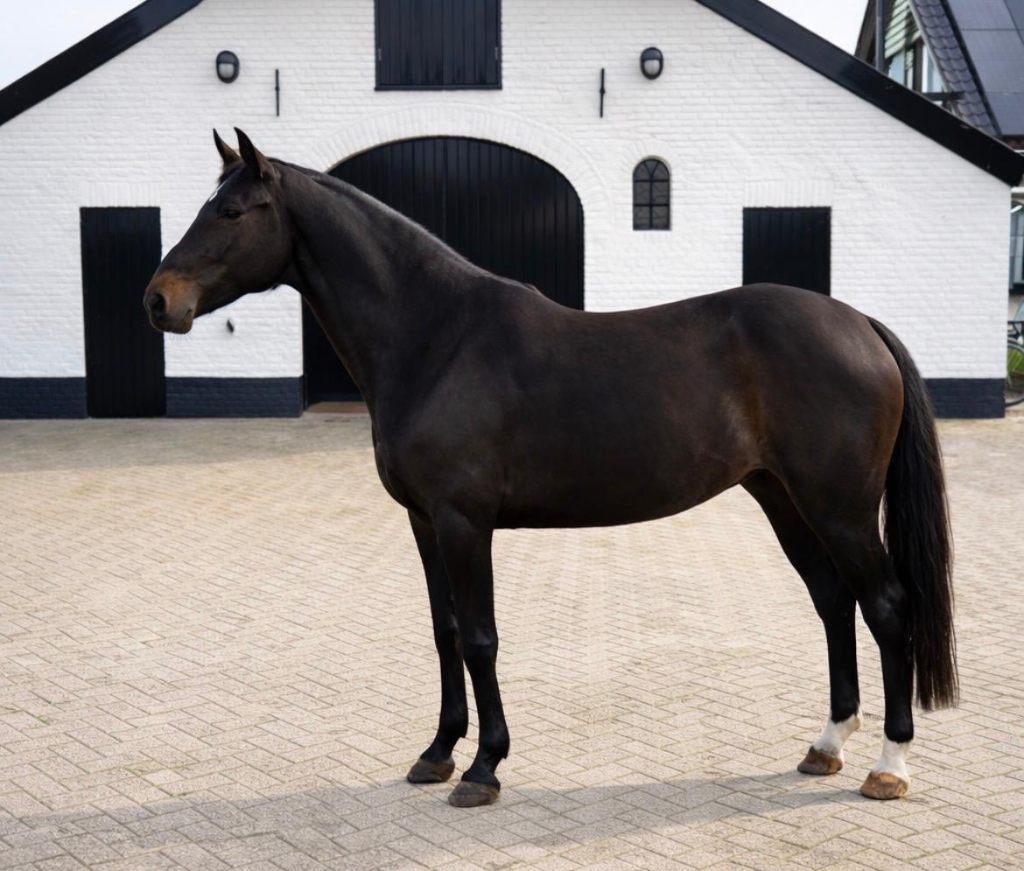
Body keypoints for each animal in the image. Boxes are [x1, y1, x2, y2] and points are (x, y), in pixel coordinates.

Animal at [143, 129, 957, 807]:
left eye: (233, 211)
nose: (158, 300)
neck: (436, 336)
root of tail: (859, 324)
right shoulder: (423, 521)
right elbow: (443, 629)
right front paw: (437, 752)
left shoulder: (464, 521)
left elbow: (480, 636)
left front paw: (483, 768)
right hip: (783, 499)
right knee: (833, 600)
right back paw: (827, 744)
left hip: (840, 508)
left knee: (887, 605)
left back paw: (890, 765)